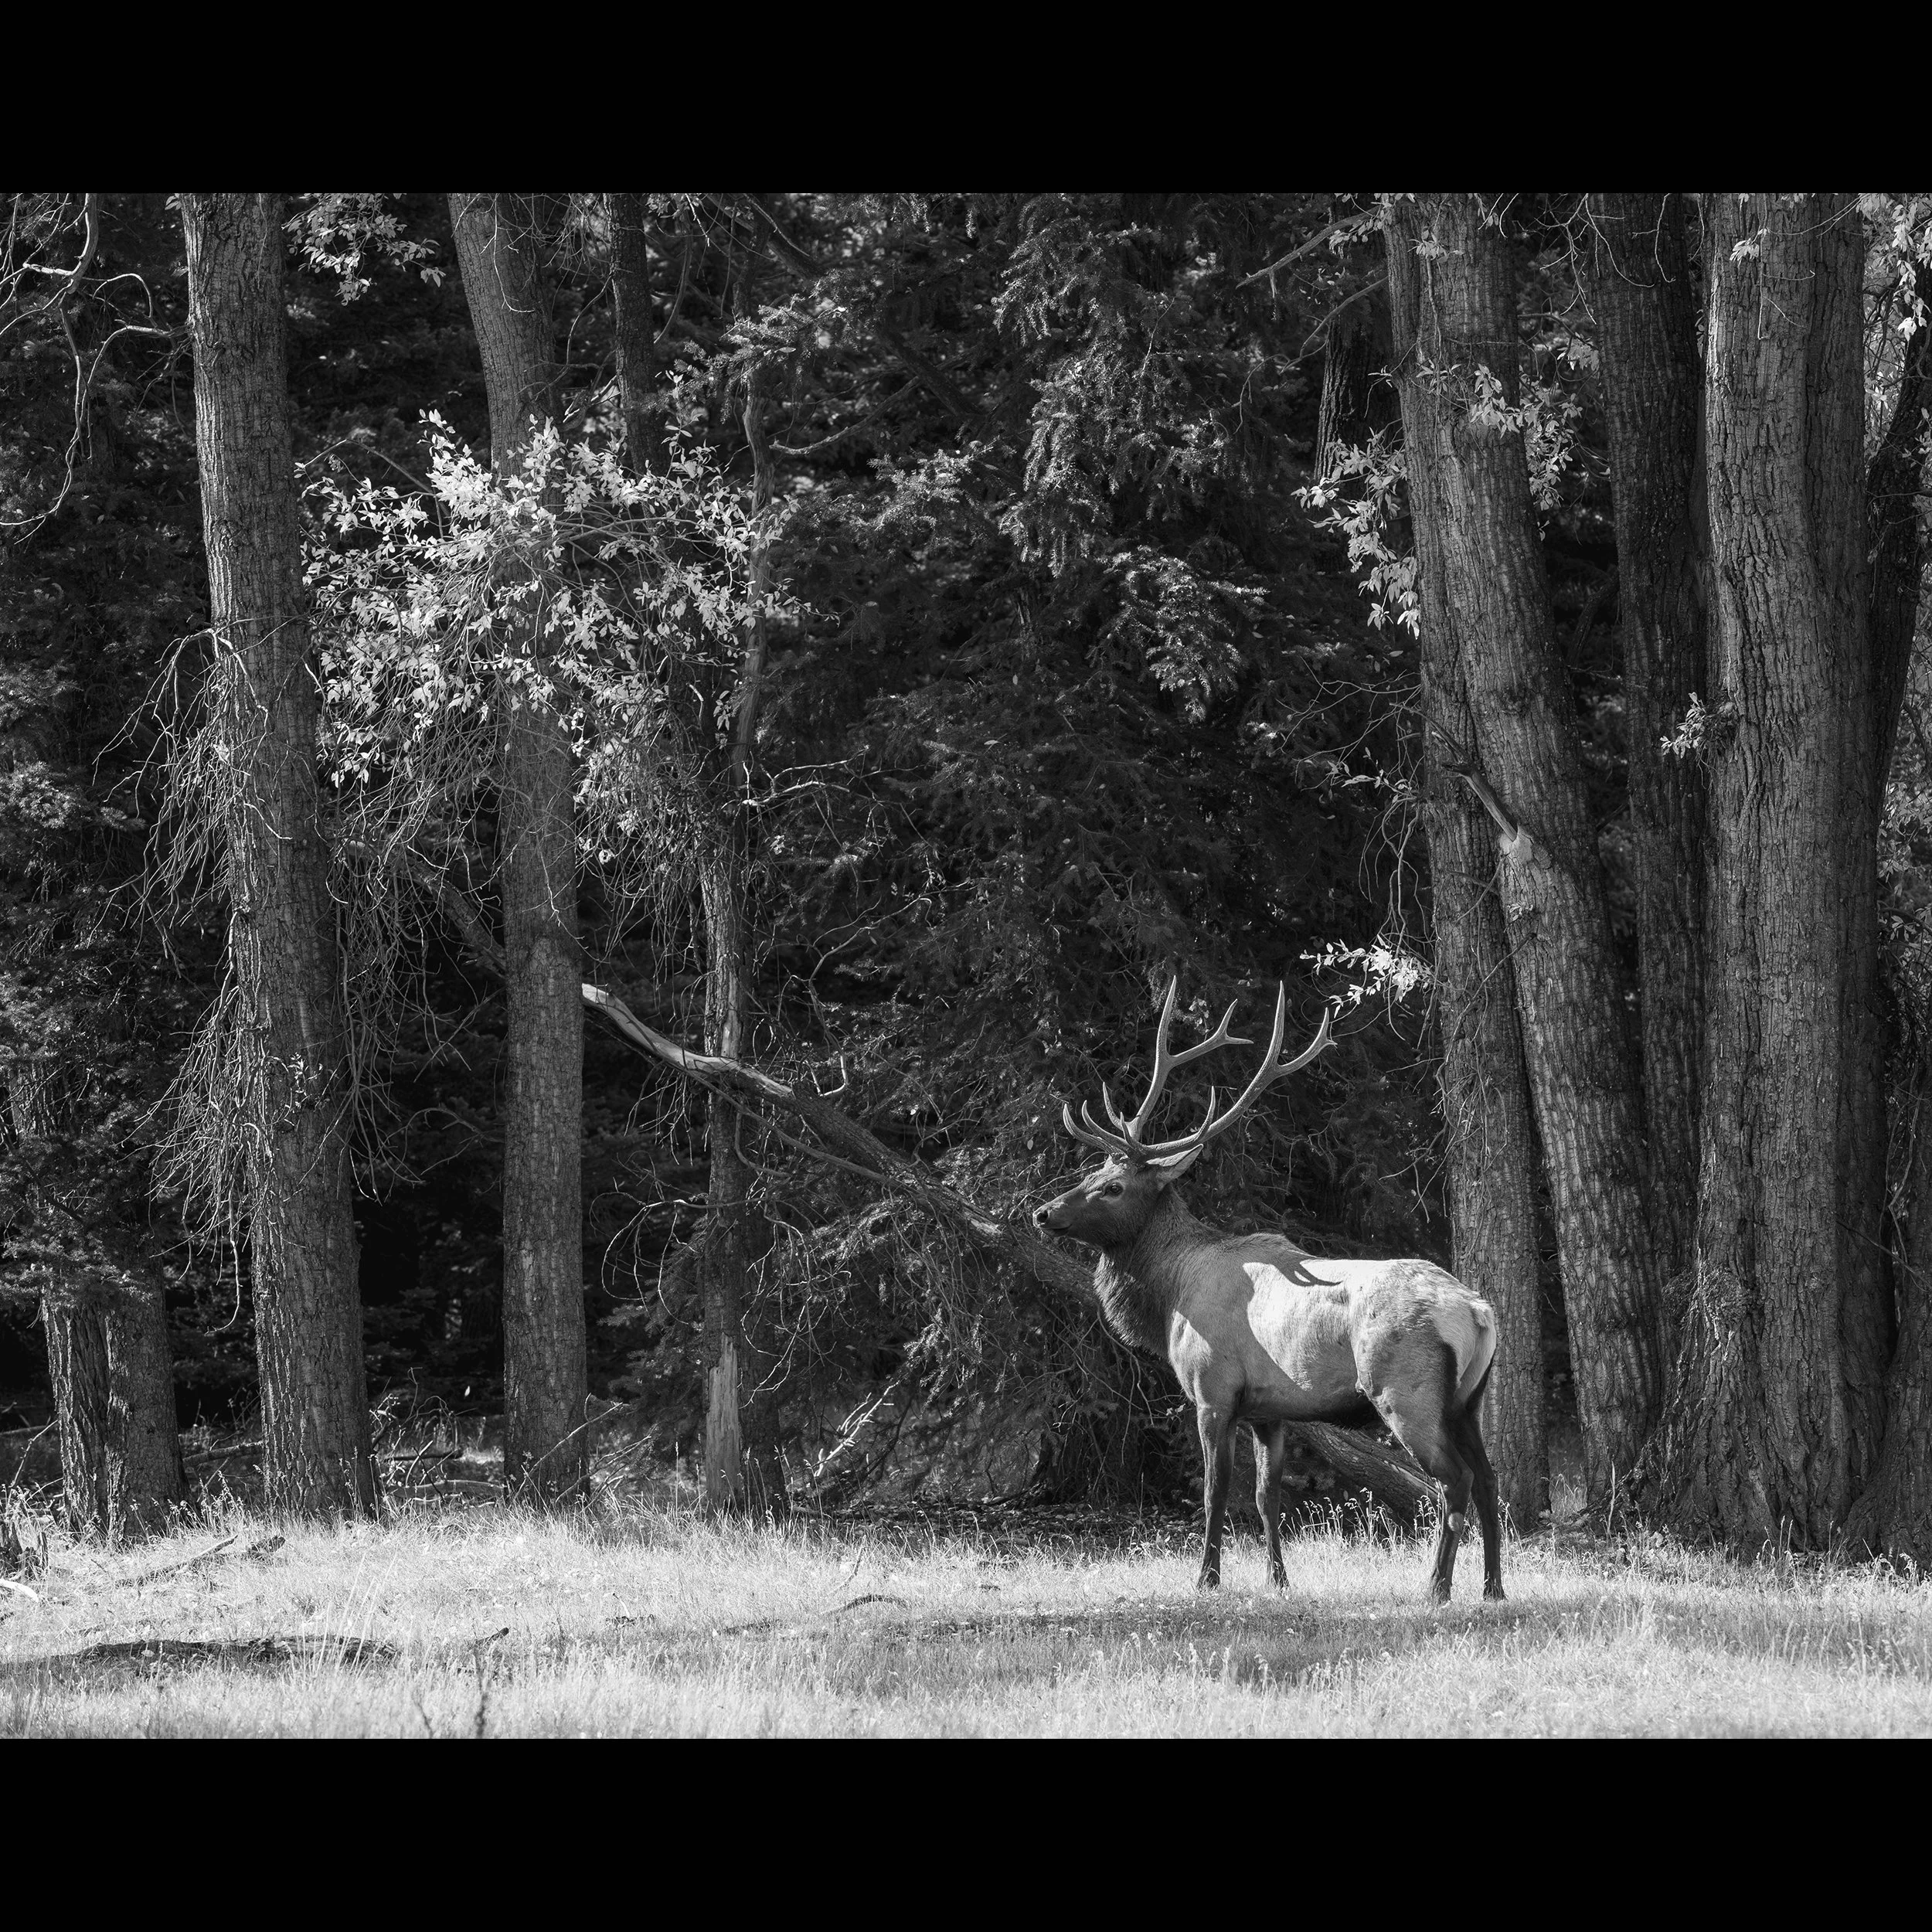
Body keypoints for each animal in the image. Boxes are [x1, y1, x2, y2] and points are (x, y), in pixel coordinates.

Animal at [1033, 980, 1504, 1603]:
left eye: (1112, 1187)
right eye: (1089, 1173)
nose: (1043, 1213)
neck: (1170, 1297)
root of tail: (1477, 1312)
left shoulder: (1212, 1390)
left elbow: (1215, 1494)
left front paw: (1206, 1579)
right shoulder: (1271, 1410)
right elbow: (1266, 1498)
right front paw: (1279, 1581)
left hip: (1406, 1390)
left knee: (1454, 1481)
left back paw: (1437, 1587)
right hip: (1469, 1398)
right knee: (1490, 1477)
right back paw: (1494, 1588)